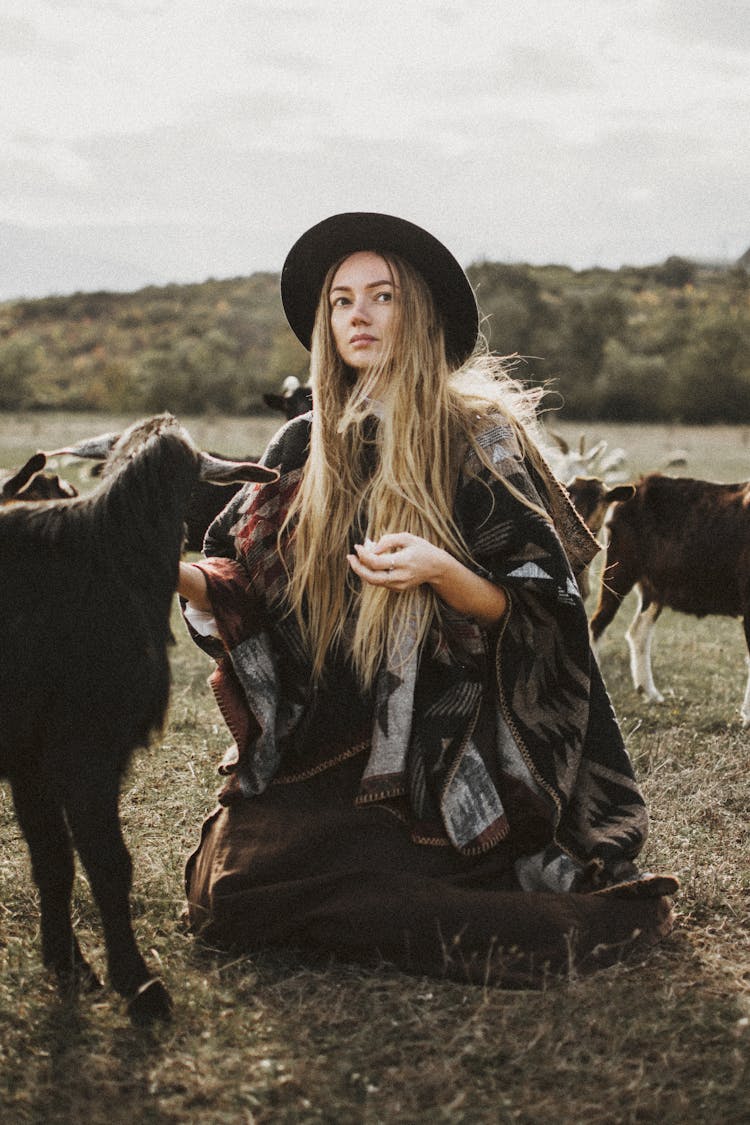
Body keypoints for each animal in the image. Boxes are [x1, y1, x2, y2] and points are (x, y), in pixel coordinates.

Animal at [0, 414, 275, 1021]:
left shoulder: (31, 760)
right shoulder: (86, 748)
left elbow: (53, 860)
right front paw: (139, 985)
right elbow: (108, 863)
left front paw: (70, 967)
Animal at [589, 472, 750, 720]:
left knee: (638, 631)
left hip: (654, 588)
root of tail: (639, 484)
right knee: (598, 623)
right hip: (620, 569)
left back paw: (650, 692)